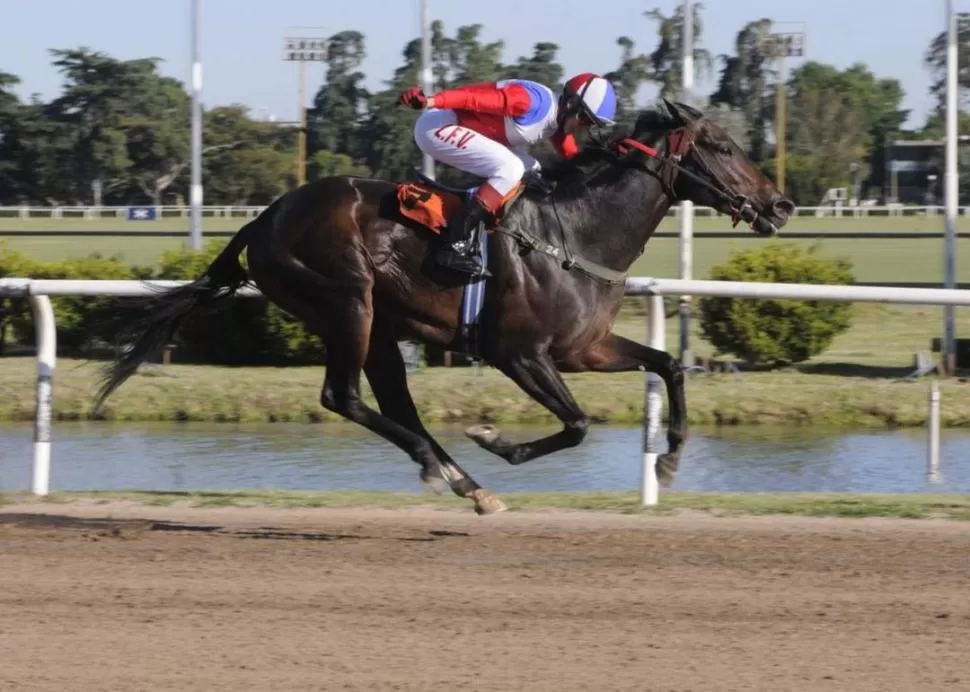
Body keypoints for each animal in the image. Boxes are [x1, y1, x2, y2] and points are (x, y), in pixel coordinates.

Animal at [92, 100, 788, 516]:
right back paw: (444, 469)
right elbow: (577, 425)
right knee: (343, 397)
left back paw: (465, 484)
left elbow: (667, 366)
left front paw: (668, 461)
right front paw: (494, 440)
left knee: (392, 402)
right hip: (347, 302)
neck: (576, 232)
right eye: (723, 146)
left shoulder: (583, 348)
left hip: (379, 324)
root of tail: (264, 219)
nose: (779, 205)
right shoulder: (520, 354)